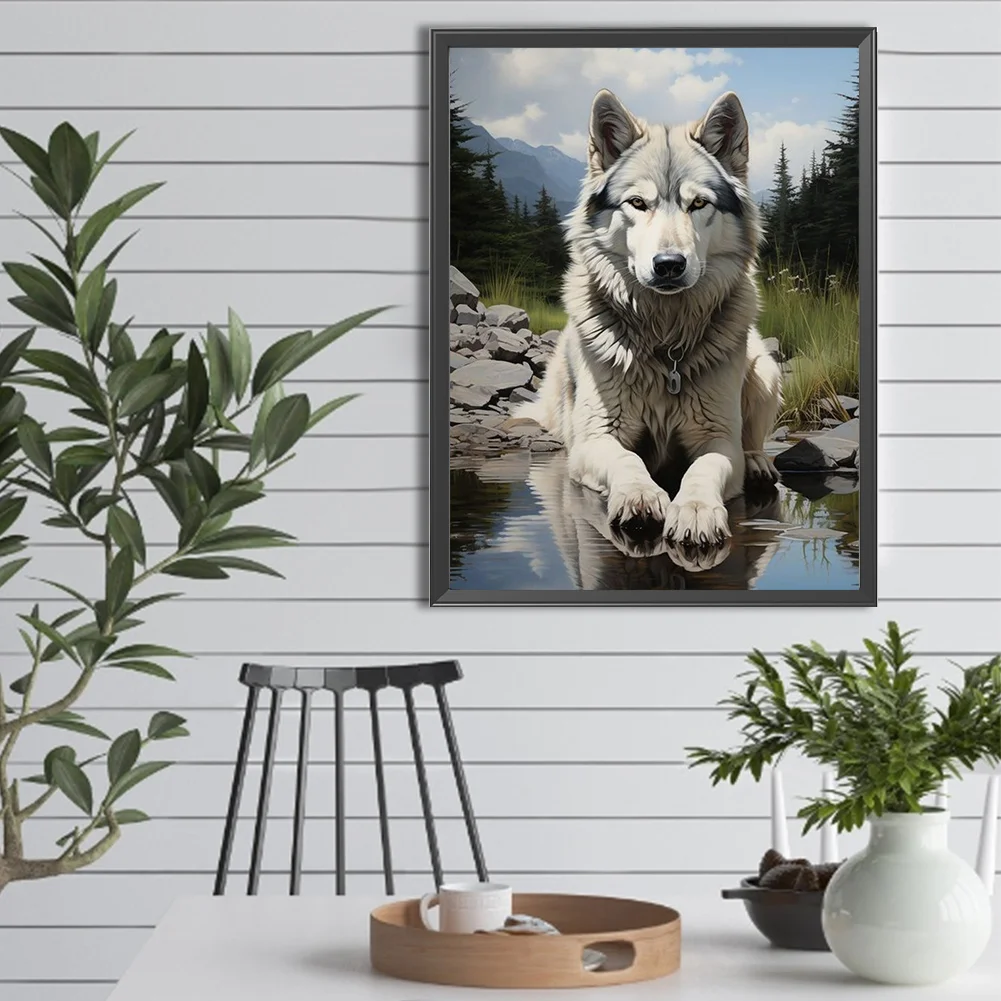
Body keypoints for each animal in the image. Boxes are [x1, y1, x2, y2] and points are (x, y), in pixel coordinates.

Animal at [516, 88, 782, 551]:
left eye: (699, 204)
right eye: (638, 203)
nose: (669, 265)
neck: (663, 339)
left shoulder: (717, 438)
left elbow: (704, 468)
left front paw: (695, 510)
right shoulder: (596, 439)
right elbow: (626, 459)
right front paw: (640, 495)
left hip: (764, 369)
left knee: (751, 437)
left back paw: (757, 463)